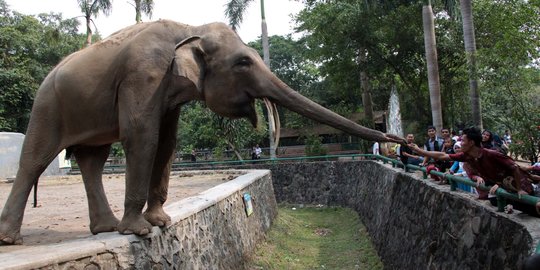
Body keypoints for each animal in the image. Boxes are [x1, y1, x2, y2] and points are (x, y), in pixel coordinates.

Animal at [0, 20, 404, 245]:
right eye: (243, 62)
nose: (401, 142)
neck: (188, 31)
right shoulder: (142, 74)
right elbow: (141, 137)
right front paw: (140, 232)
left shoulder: (168, 91)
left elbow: (167, 143)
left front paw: (161, 222)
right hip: (47, 105)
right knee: (35, 160)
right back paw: (12, 238)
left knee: (92, 161)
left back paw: (105, 227)